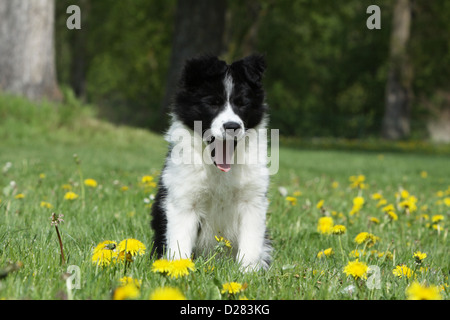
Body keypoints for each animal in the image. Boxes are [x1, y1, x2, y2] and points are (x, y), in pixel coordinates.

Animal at [151, 53, 270, 272]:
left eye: (242, 103)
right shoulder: (184, 202)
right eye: (213, 103)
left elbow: (250, 243)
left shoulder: (252, 201)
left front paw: (247, 273)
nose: (232, 126)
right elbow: (180, 242)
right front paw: (179, 269)